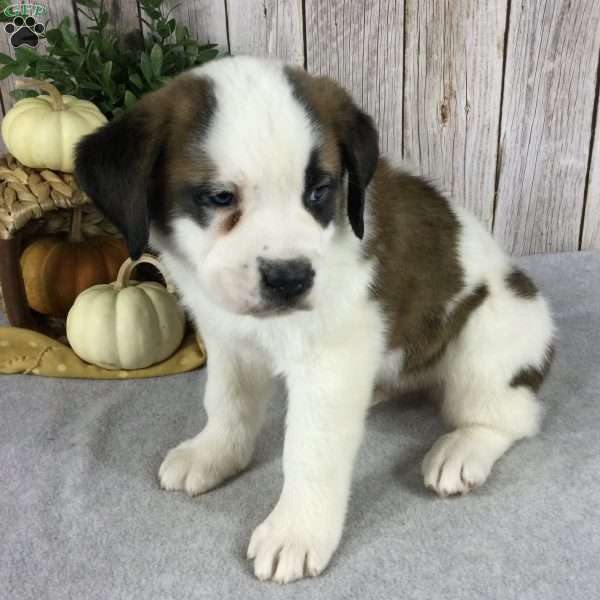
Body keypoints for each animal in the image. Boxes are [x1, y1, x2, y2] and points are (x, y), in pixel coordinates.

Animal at [74, 55, 552, 580]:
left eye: (320, 192)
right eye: (220, 197)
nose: (290, 278)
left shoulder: (330, 361)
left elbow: (310, 451)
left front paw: (297, 531)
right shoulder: (229, 340)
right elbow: (227, 403)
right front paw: (215, 453)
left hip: (486, 341)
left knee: (513, 415)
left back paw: (463, 447)